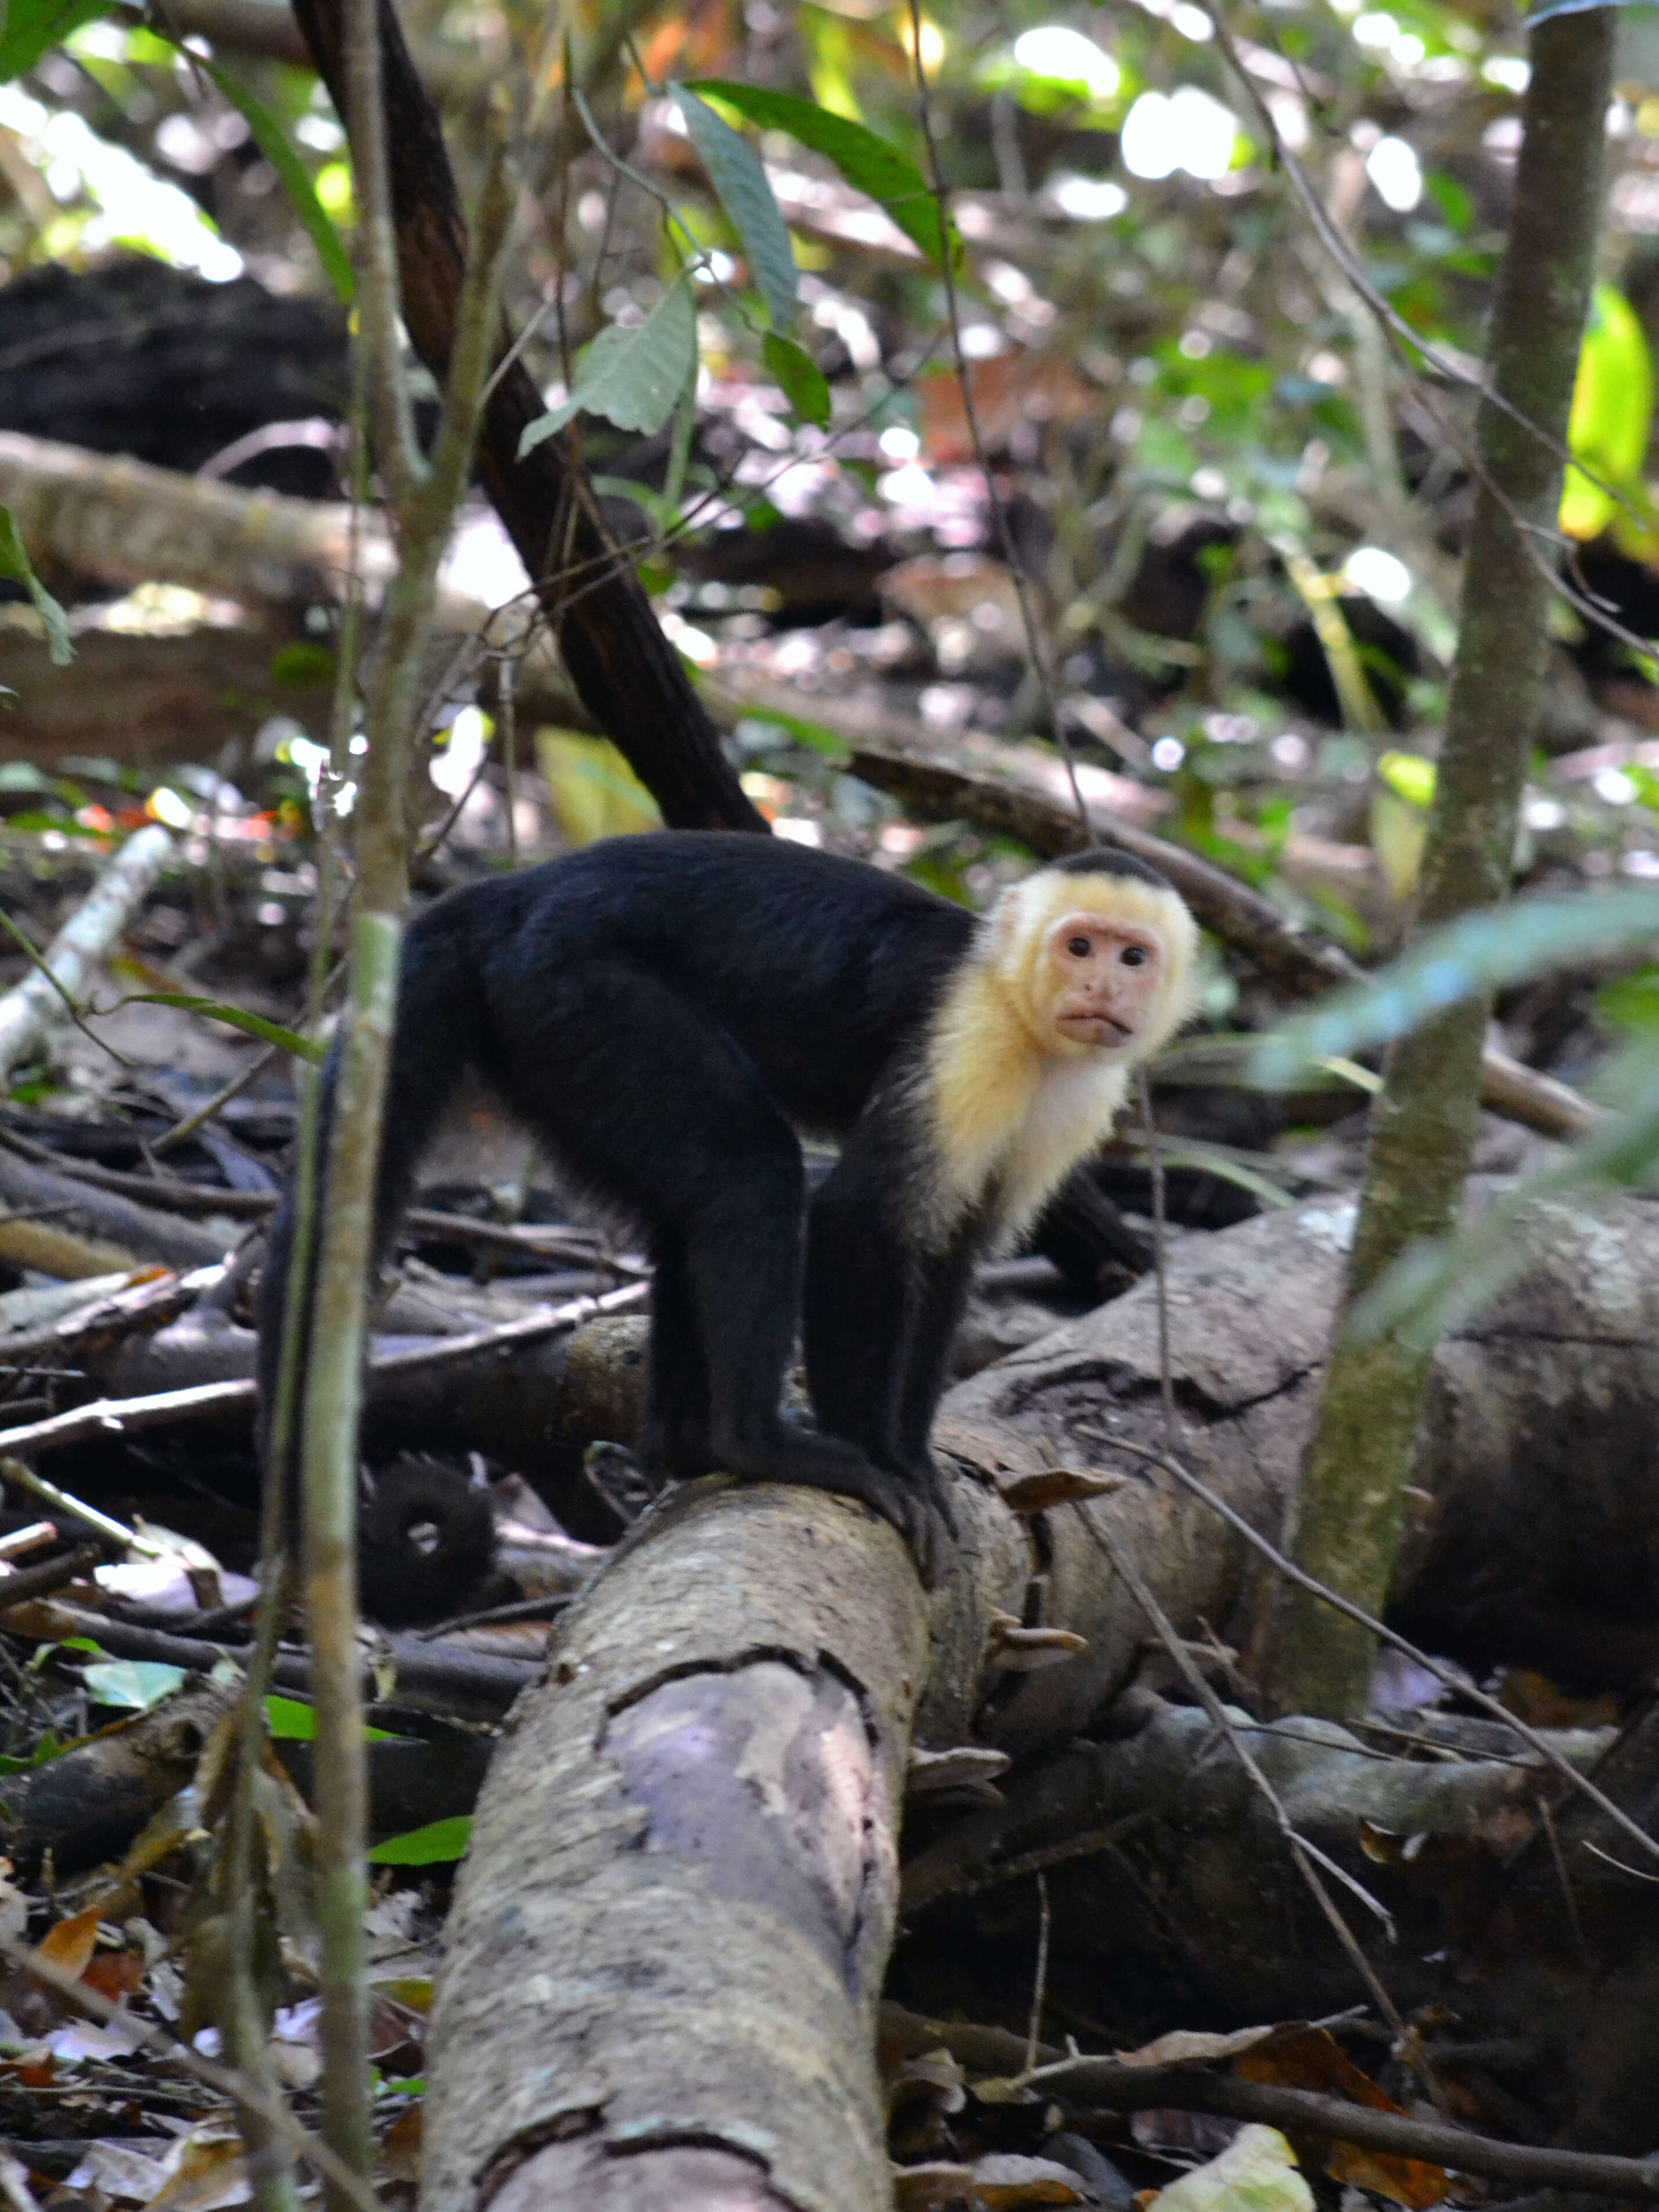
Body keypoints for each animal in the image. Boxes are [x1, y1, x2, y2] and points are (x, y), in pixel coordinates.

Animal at [256, 831, 1194, 1592]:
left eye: (1132, 957)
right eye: (1078, 945)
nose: (1100, 984)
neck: (1027, 1019)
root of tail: (513, 892)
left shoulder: (1073, 1096)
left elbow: (952, 1250)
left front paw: (916, 1460)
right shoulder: (972, 1040)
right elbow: (862, 1221)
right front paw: (883, 1462)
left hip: (547, 1043)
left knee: (694, 1208)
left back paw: (685, 1445)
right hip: (576, 990)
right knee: (752, 1172)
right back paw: (756, 1443)